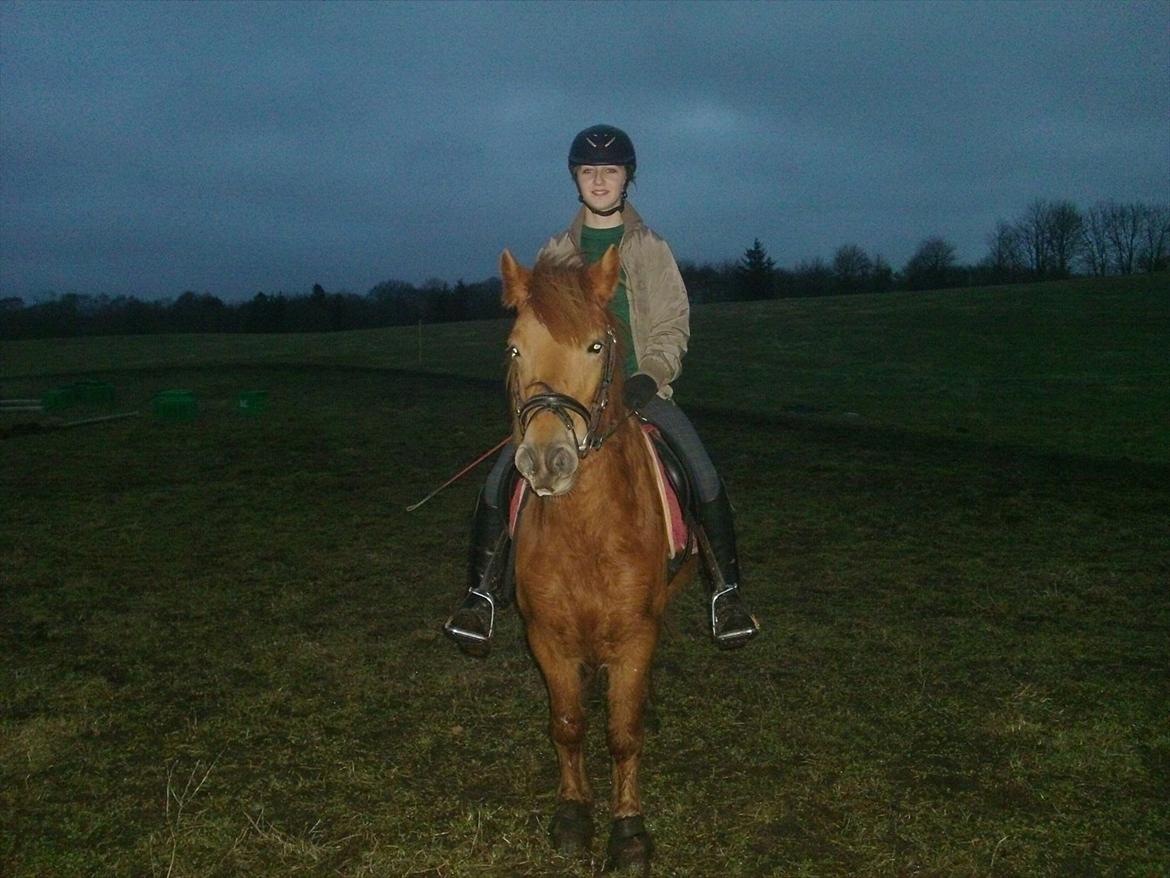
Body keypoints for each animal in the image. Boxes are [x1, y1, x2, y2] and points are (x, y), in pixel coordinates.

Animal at [499, 245, 695, 872]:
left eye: (596, 346)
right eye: (514, 347)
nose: (545, 459)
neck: (586, 532)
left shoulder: (635, 635)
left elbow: (623, 733)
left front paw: (629, 830)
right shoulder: (547, 638)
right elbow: (568, 725)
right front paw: (572, 815)